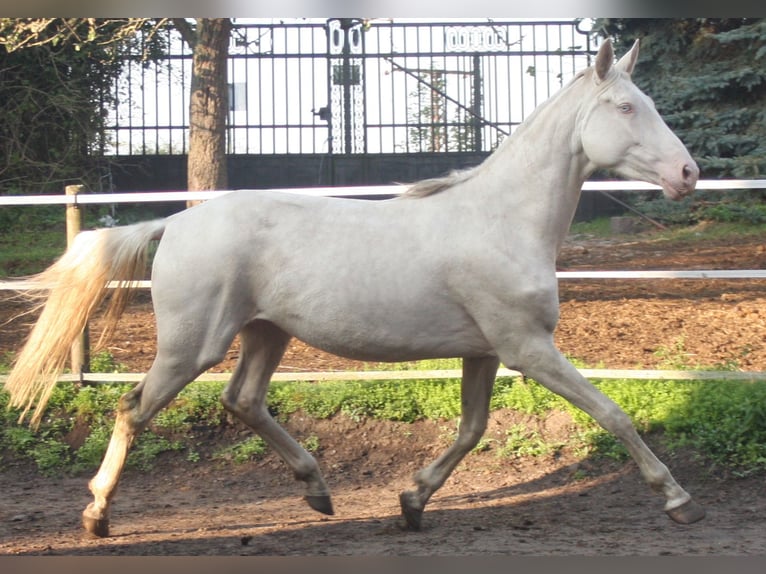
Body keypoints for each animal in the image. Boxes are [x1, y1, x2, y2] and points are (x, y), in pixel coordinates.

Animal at [3, 38, 708, 536]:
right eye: (626, 107)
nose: (687, 173)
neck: (502, 220)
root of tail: (174, 221)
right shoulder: (527, 348)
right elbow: (612, 413)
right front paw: (679, 500)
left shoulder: (484, 352)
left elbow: (471, 429)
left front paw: (412, 501)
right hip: (191, 345)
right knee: (134, 408)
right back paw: (96, 515)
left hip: (266, 332)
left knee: (242, 400)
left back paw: (317, 491)